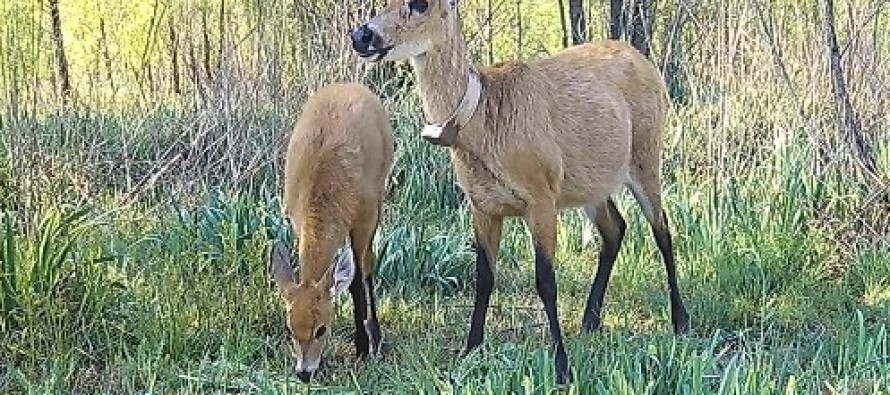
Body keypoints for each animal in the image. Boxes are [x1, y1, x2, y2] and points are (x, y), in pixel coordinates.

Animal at [268, 83, 394, 384]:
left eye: (322, 329)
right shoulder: (296, 218)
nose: (305, 372)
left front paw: (364, 347)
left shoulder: (363, 218)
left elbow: (358, 279)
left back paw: (375, 335)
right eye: (289, 329)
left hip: (379, 198)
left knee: (368, 266)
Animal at [350, 0, 692, 386]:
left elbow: (546, 281)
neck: (481, 121)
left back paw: (680, 321)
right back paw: (590, 321)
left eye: (420, 4)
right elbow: (484, 277)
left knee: (662, 229)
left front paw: (562, 367)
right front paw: (470, 350)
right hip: (589, 183)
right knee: (616, 228)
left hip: (646, 154)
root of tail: (644, 60)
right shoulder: (482, 205)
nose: (361, 35)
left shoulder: (541, 196)